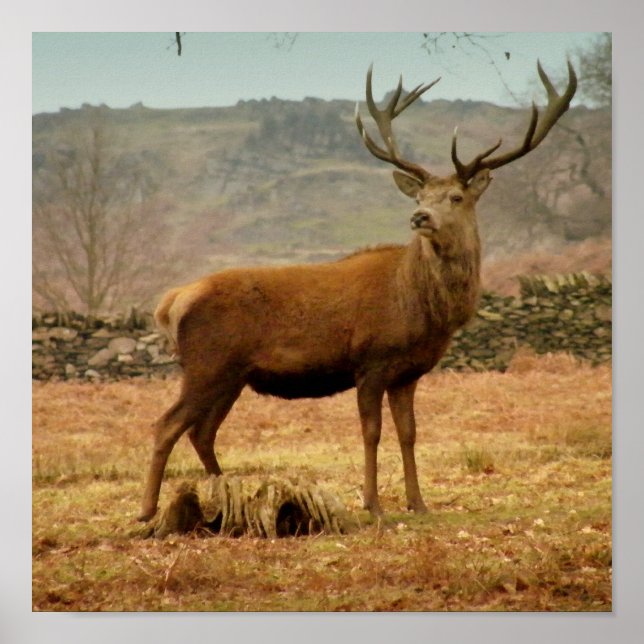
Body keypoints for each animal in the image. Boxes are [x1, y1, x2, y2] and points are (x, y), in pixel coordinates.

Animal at [139, 61, 577, 522]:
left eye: (456, 196)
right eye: (421, 195)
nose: (420, 216)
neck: (421, 305)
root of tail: (171, 302)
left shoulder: (408, 373)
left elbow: (409, 433)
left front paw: (418, 503)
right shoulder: (371, 361)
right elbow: (371, 432)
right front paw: (373, 504)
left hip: (231, 375)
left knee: (202, 432)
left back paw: (221, 496)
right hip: (207, 363)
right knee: (166, 425)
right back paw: (148, 510)